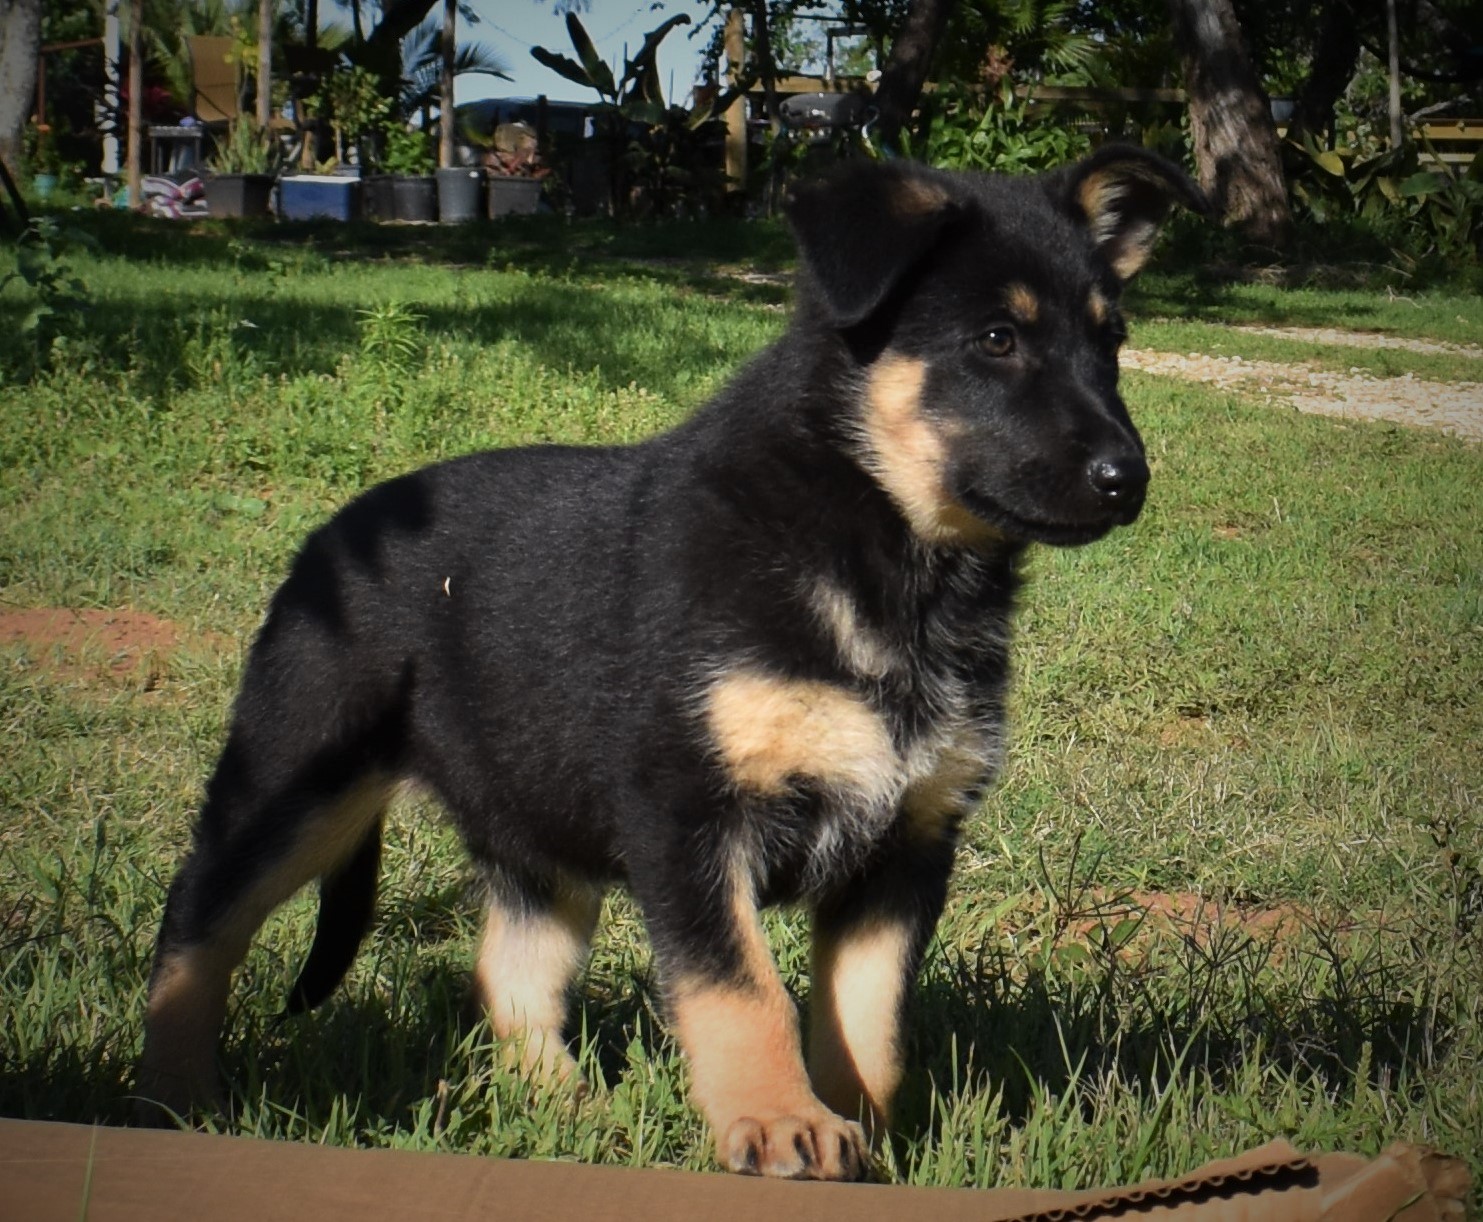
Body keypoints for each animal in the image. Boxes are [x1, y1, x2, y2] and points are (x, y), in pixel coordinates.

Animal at [136, 148, 1204, 1180]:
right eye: (995, 340)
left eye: (1110, 345)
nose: (1130, 479)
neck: (885, 553)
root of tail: (337, 529)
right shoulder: (687, 817)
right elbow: (742, 987)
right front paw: (779, 1124)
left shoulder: (905, 844)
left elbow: (869, 1021)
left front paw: (862, 1137)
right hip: (295, 779)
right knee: (196, 926)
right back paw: (175, 1100)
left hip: (538, 826)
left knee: (510, 966)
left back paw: (566, 1110)